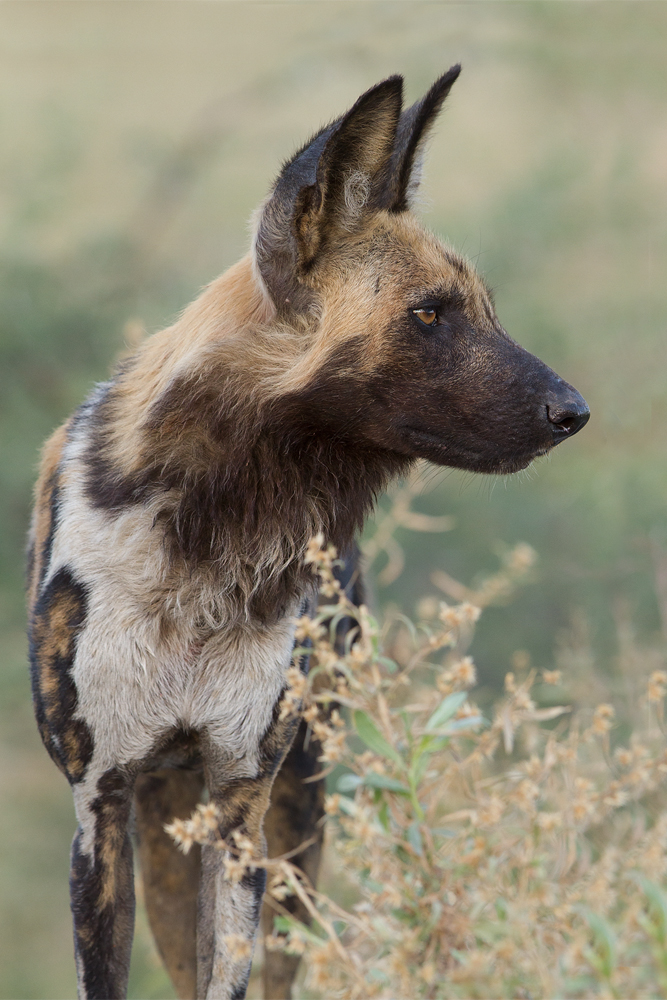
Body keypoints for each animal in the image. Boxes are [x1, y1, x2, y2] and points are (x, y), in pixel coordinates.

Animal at [26, 68, 588, 1000]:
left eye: (484, 311)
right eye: (429, 315)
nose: (572, 412)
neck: (209, 542)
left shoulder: (242, 810)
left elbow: (235, 978)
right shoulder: (100, 809)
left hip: (290, 828)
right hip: (170, 834)